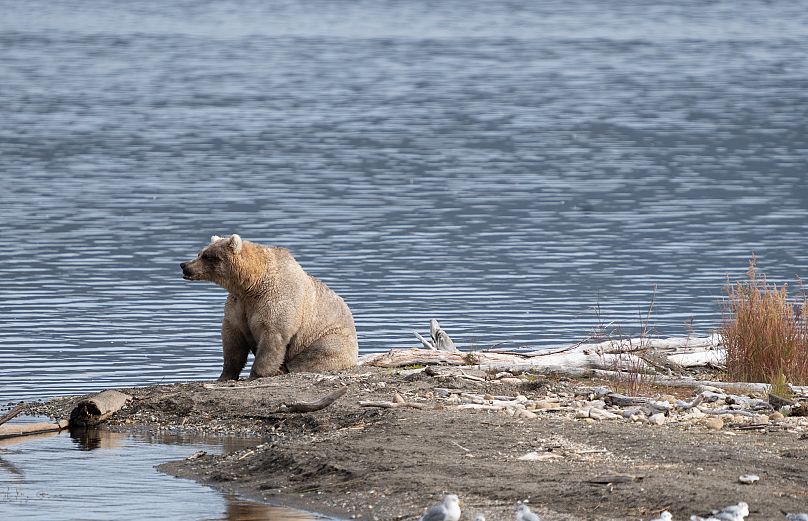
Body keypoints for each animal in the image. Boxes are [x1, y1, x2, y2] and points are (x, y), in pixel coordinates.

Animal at [183, 235, 360, 378]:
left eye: (207, 256)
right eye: (200, 253)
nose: (184, 265)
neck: (251, 285)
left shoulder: (275, 300)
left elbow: (273, 335)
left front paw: (257, 373)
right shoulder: (238, 305)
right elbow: (232, 340)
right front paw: (225, 375)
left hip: (327, 336)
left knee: (314, 355)